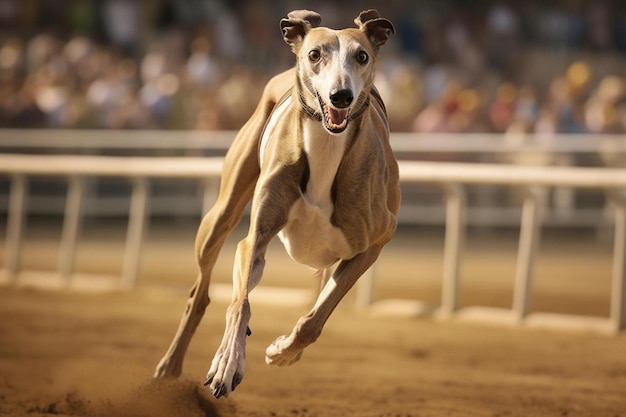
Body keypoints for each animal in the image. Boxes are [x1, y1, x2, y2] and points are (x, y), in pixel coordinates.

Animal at [156, 7, 400, 396]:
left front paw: (282, 351)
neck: (326, 146)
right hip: (219, 217)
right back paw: (170, 366)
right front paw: (227, 363)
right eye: (315, 54)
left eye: (362, 56)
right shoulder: (255, 238)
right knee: (202, 295)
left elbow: (314, 320)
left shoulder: (375, 241)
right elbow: (240, 304)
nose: (341, 96)